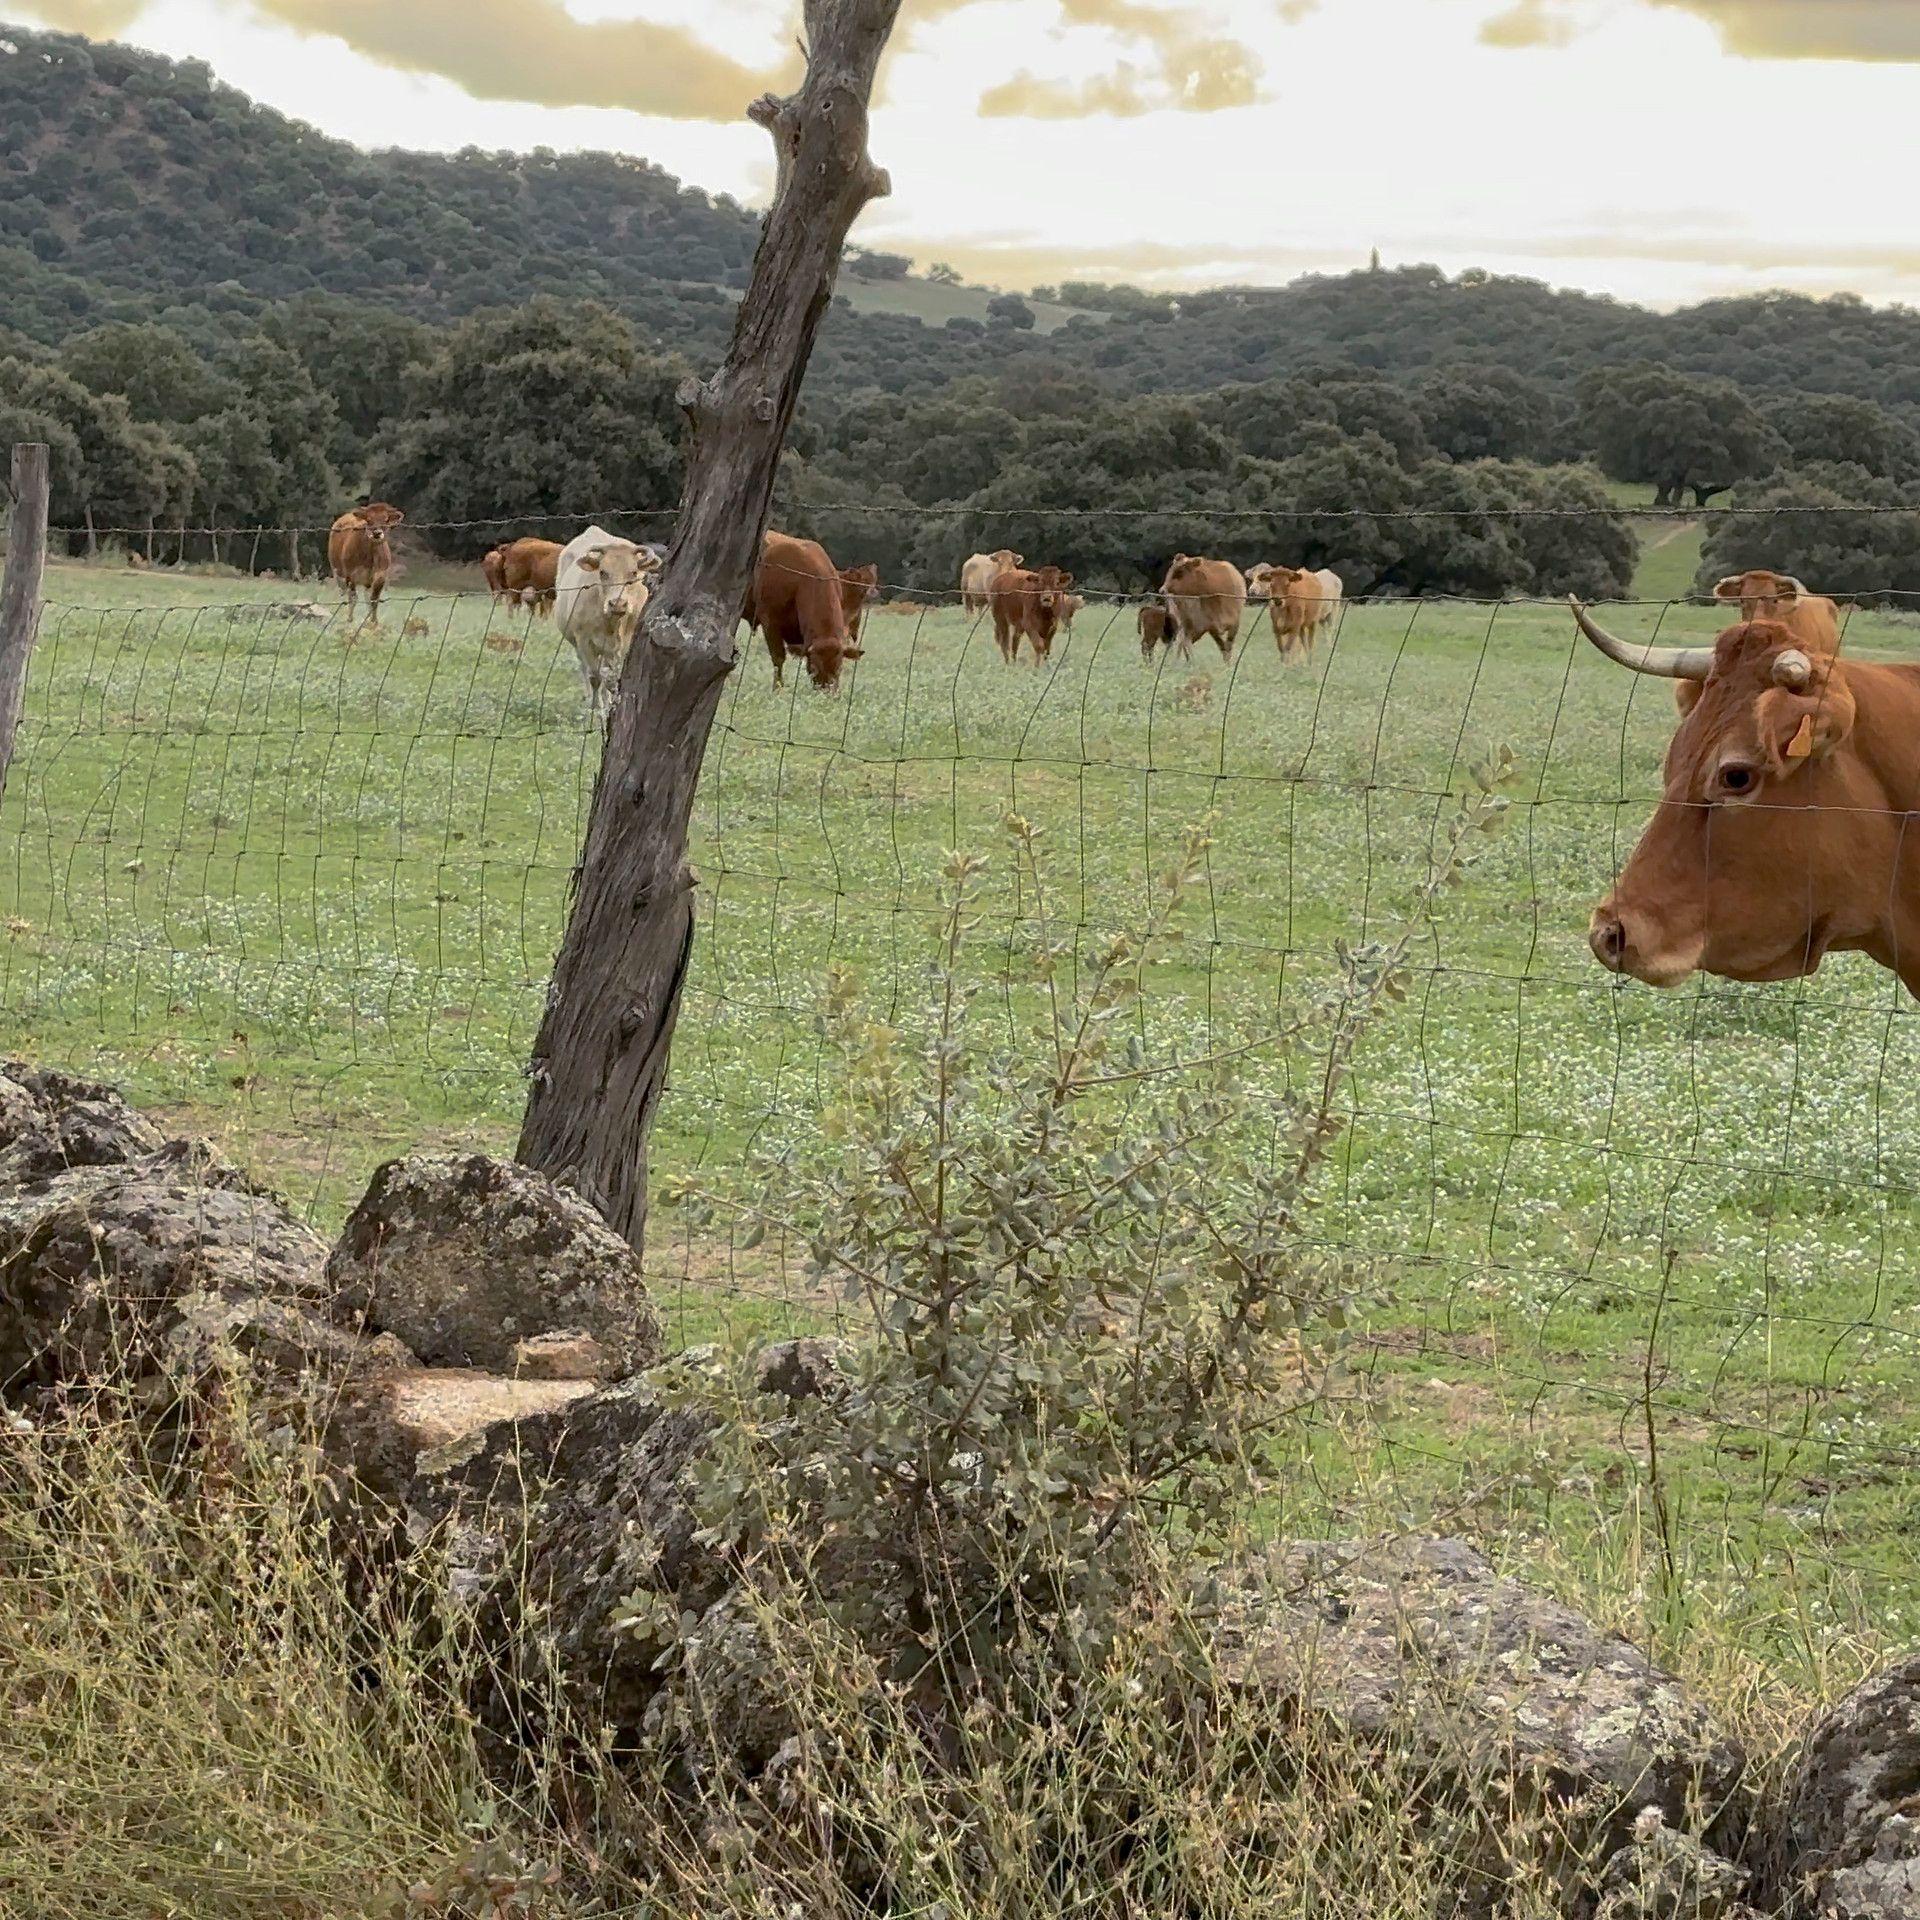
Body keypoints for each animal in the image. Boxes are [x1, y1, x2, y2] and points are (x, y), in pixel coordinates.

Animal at [553, 526, 661, 716]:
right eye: (603, 572)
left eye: (634, 573)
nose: (617, 603)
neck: (612, 623)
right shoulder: (584, 640)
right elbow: (595, 677)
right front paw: (597, 709)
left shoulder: (626, 643)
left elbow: (615, 677)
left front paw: (612, 705)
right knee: (587, 670)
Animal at [753, 531, 865, 690]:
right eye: (813, 668)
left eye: (839, 668)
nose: (825, 692)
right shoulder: (769, 621)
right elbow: (778, 659)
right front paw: (777, 689)